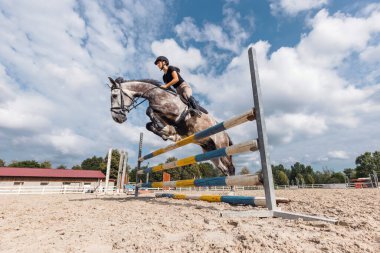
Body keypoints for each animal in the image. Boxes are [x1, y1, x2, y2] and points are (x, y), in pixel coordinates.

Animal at [108, 77, 236, 176]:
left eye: (114, 96)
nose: (116, 118)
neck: (156, 94)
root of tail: (225, 134)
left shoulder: (174, 113)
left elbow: (148, 110)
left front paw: (166, 131)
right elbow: (149, 124)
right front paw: (168, 133)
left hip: (221, 146)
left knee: (230, 168)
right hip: (211, 152)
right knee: (224, 169)